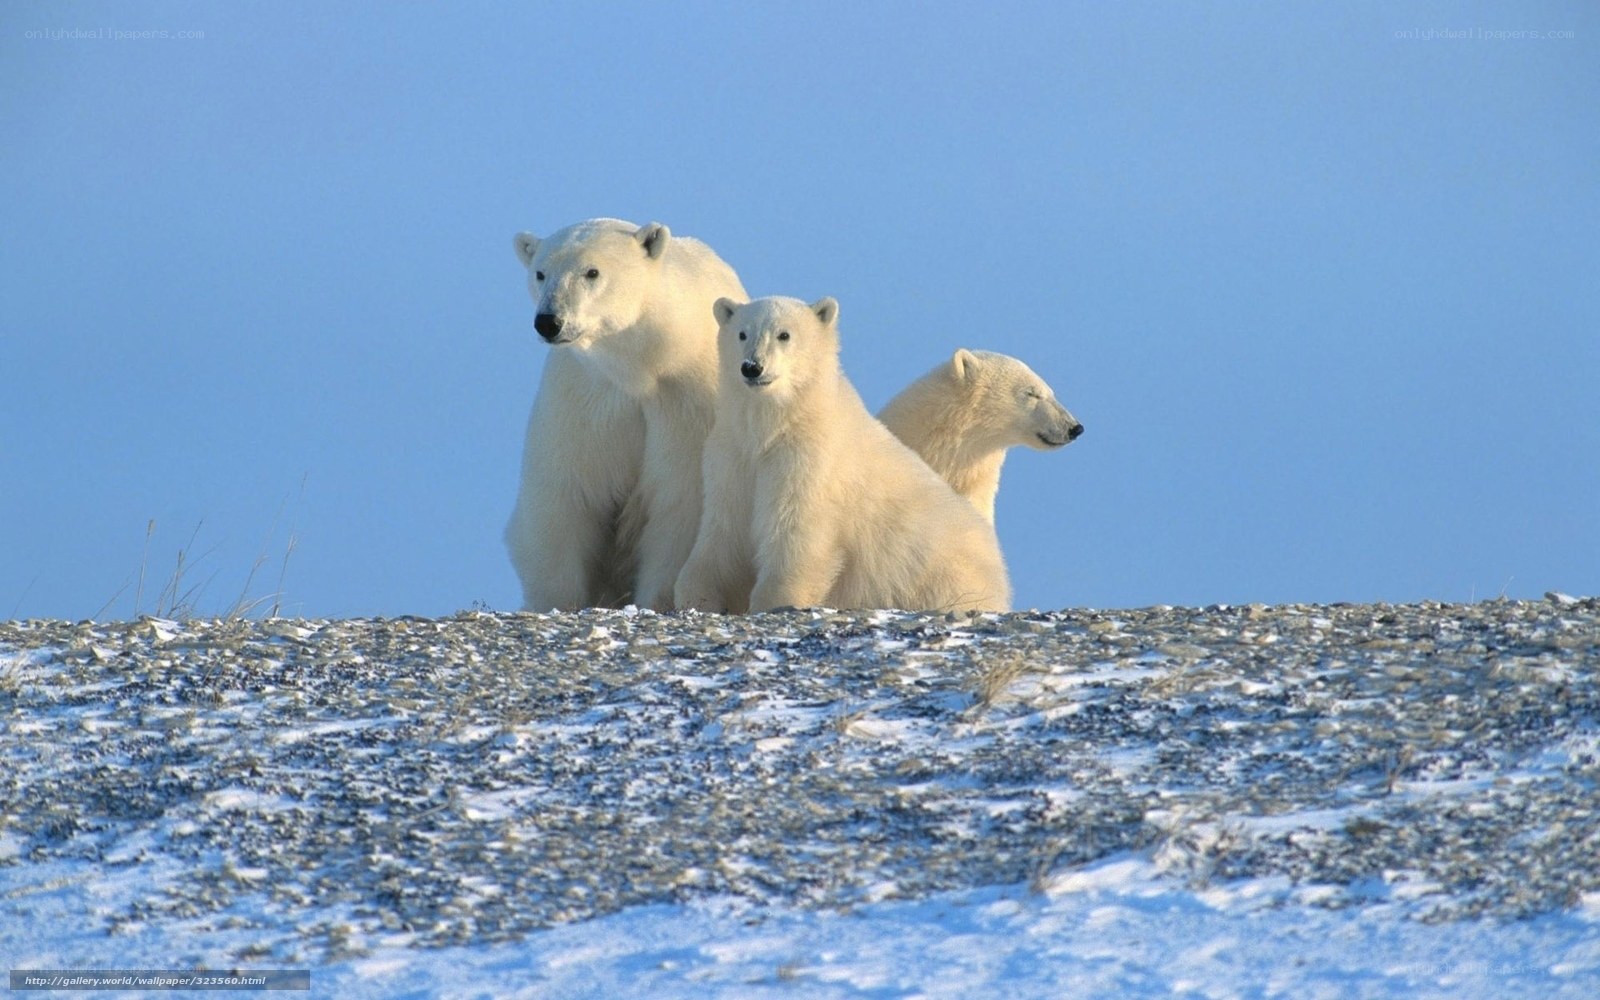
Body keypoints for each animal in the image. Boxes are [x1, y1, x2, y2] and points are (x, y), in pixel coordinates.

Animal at [506, 218, 747, 611]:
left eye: (592, 271)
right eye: (540, 273)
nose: (549, 321)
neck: (643, 366)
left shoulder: (686, 404)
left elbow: (678, 503)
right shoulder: (585, 400)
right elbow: (565, 496)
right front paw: (555, 601)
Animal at [675, 296, 1012, 614]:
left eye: (784, 334)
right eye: (742, 333)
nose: (752, 367)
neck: (776, 427)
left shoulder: (808, 461)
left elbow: (796, 532)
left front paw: (774, 598)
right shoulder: (733, 457)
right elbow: (724, 530)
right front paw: (697, 594)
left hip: (941, 574)